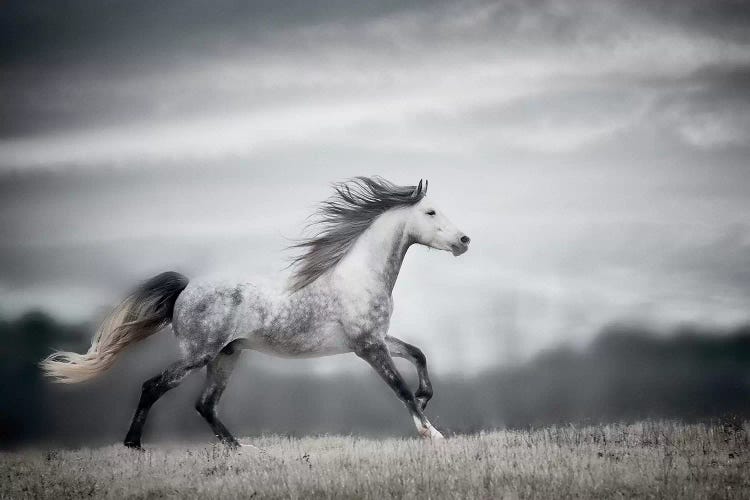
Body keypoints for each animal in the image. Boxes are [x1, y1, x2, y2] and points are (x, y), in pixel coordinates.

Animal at [39, 174, 470, 448]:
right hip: (199, 355)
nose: (464, 240)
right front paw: (432, 434)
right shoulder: (367, 347)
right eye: (431, 212)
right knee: (154, 386)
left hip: (226, 356)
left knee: (204, 404)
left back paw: (239, 449)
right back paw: (133, 446)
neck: (358, 276)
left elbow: (418, 355)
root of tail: (185, 289)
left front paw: (426, 399)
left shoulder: (374, 340)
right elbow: (399, 388)